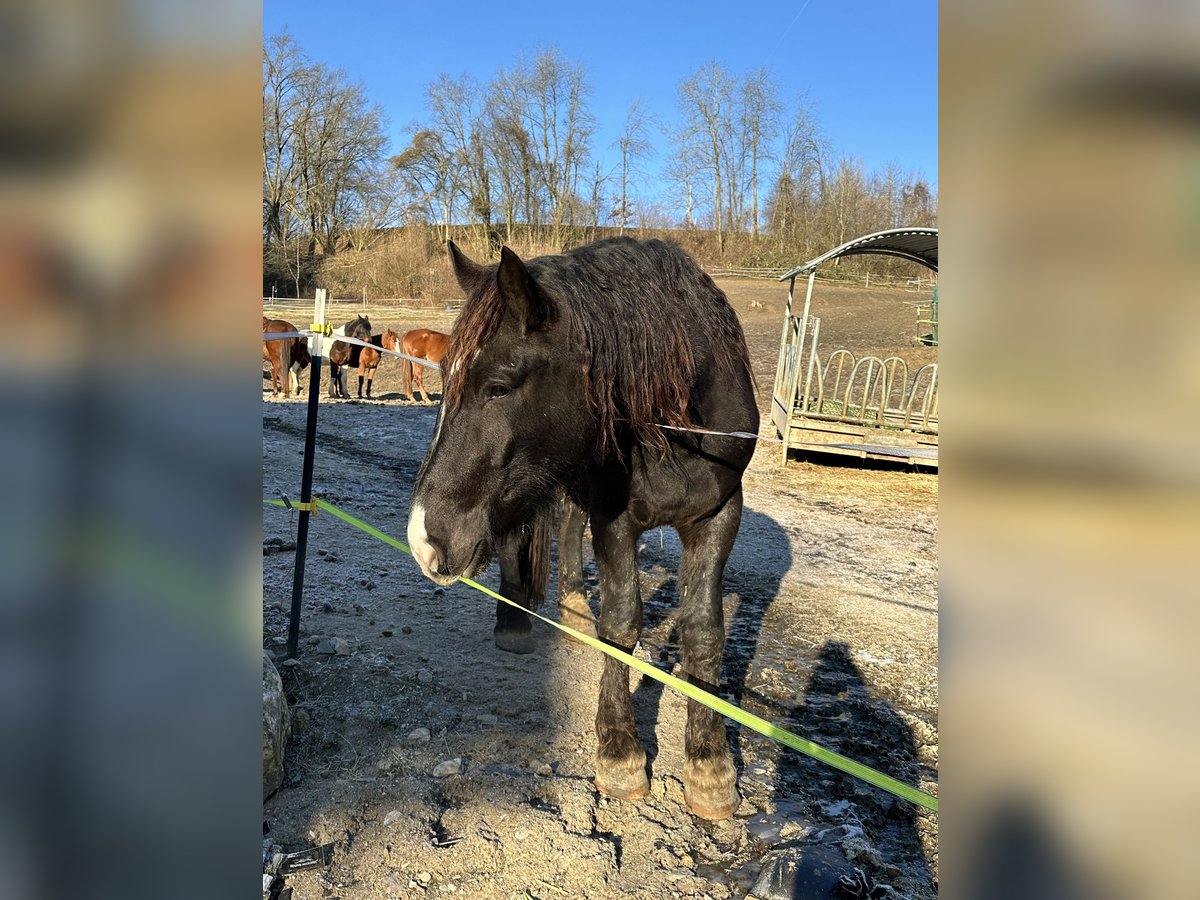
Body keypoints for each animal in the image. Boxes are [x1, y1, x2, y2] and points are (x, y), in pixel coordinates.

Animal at [408, 237, 753, 825]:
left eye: (499, 386)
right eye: (444, 374)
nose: (423, 538)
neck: (675, 424)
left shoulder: (720, 515)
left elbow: (704, 630)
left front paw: (710, 764)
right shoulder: (616, 518)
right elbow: (623, 623)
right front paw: (620, 753)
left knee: (568, 526)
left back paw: (571, 608)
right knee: (521, 538)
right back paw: (514, 622)